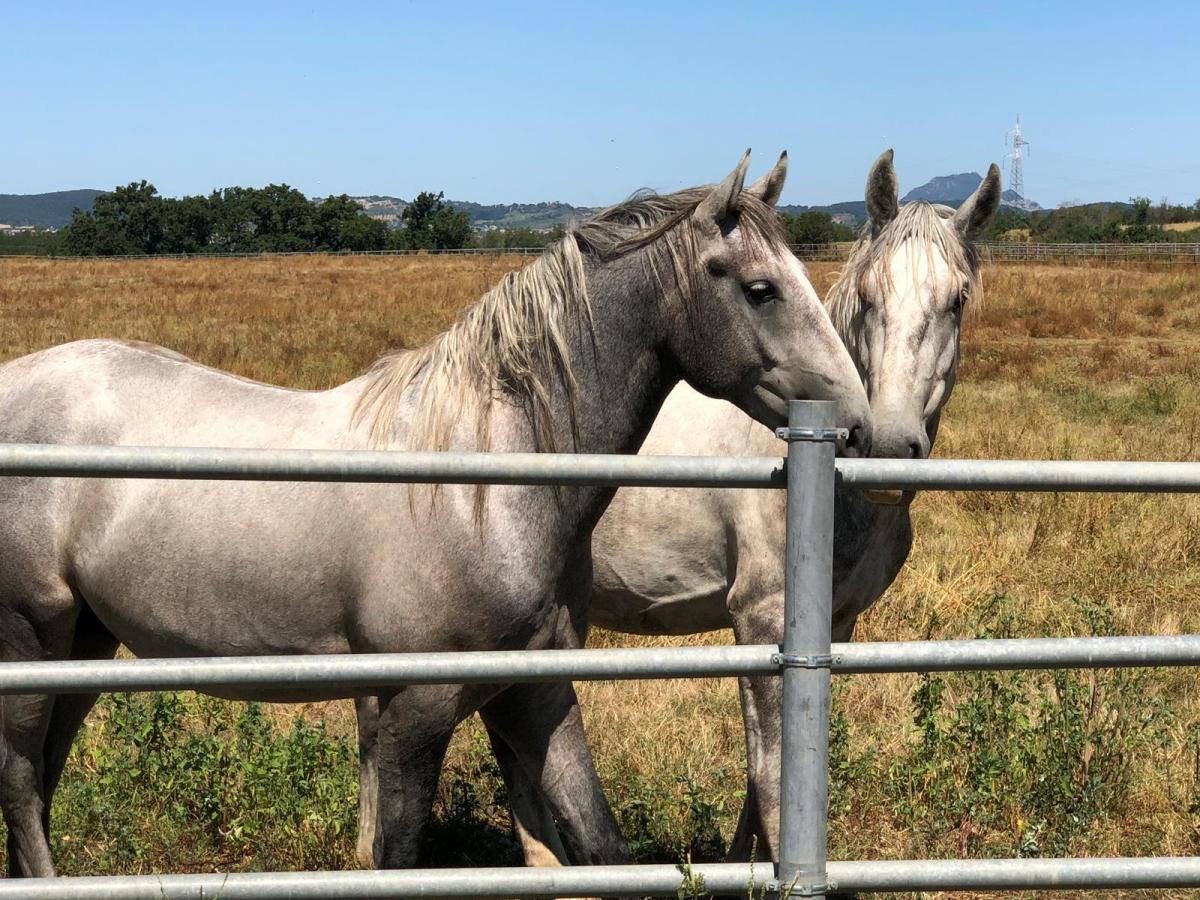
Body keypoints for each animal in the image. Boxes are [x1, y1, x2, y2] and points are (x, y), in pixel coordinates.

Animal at [0, 151, 873, 878]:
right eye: (760, 289)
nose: (859, 426)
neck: (481, 486)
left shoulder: (535, 695)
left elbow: (598, 843)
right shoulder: (413, 708)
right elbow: (399, 854)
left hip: (84, 643)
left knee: (40, 780)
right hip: (32, 639)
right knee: (20, 781)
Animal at [487, 153, 1003, 868]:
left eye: (956, 301)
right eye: (869, 297)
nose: (888, 444)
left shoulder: (834, 626)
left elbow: (772, 785)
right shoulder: (759, 620)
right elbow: (772, 778)